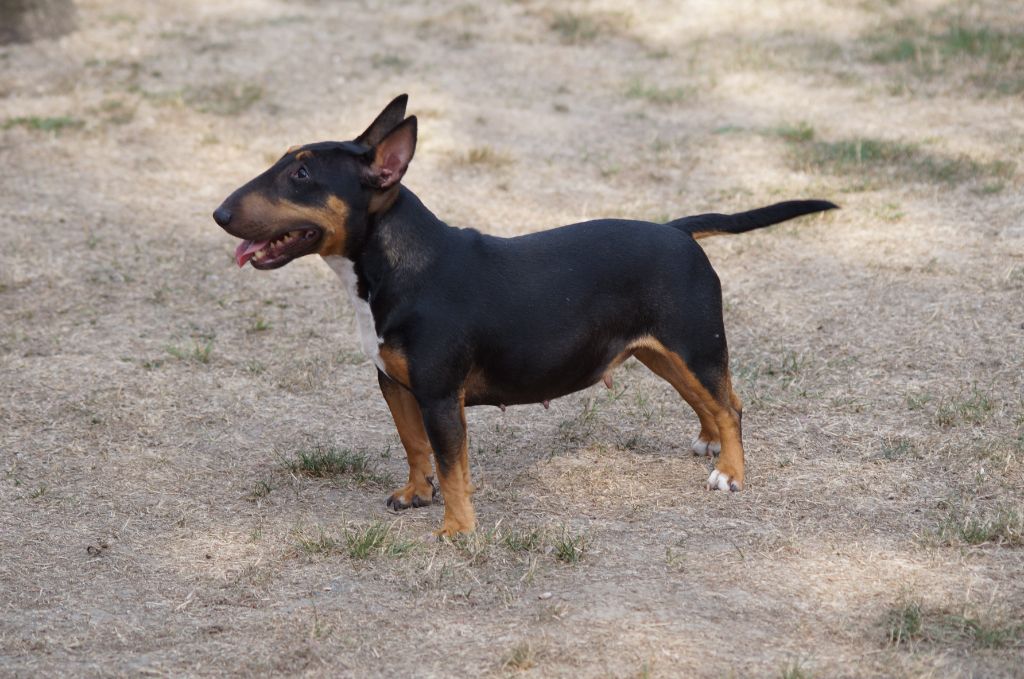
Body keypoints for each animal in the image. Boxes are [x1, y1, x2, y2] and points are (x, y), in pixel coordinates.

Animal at [211, 95, 835, 540]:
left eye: (301, 176)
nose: (218, 214)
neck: (401, 266)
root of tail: (677, 230)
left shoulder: (440, 396)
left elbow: (452, 464)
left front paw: (456, 531)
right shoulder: (395, 384)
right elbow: (414, 446)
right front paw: (414, 496)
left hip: (694, 344)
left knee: (731, 405)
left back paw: (731, 473)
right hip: (661, 352)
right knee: (711, 400)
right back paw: (708, 444)